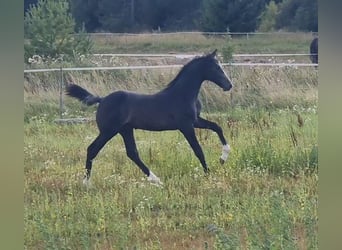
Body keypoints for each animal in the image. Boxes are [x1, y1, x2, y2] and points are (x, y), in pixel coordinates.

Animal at [66, 49, 232, 186]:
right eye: (216, 68)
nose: (229, 85)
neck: (183, 94)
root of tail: (102, 100)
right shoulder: (186, 126)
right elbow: (198, 150)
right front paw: (208, 174)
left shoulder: (195, 121)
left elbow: (217, 127)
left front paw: (223, 158)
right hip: (108, 131)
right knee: (92, 149)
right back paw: (86, 183)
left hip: (125, 130)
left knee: (132, 153)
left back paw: (156, 180)